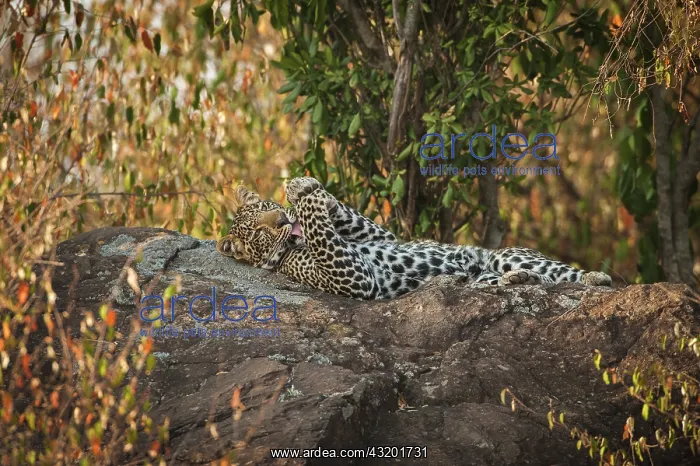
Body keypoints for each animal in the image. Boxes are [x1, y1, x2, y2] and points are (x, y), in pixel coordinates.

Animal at [216, 176, 612, 300]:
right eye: (258, 232)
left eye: (266, 206)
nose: (283, 217)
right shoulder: (351, 278)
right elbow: (320, 229)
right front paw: (307, 199)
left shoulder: (383, 235)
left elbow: (351, 218)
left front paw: (306, 187)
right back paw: (520, 280)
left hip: (505, 255)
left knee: (565, 275)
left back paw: (589, 277)